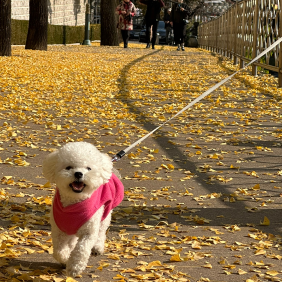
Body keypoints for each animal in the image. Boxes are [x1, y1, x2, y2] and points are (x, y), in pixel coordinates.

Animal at [42, 142, 124, 276]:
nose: (79, 173)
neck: (74, 203)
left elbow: (82, 249)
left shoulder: (88, 232)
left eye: (88, 168)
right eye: (68, 167)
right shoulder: (59, 230)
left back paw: (97, 247)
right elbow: (59, 251)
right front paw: (66, 258)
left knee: (101, 231)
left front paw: (74, 267)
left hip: (105, 214)